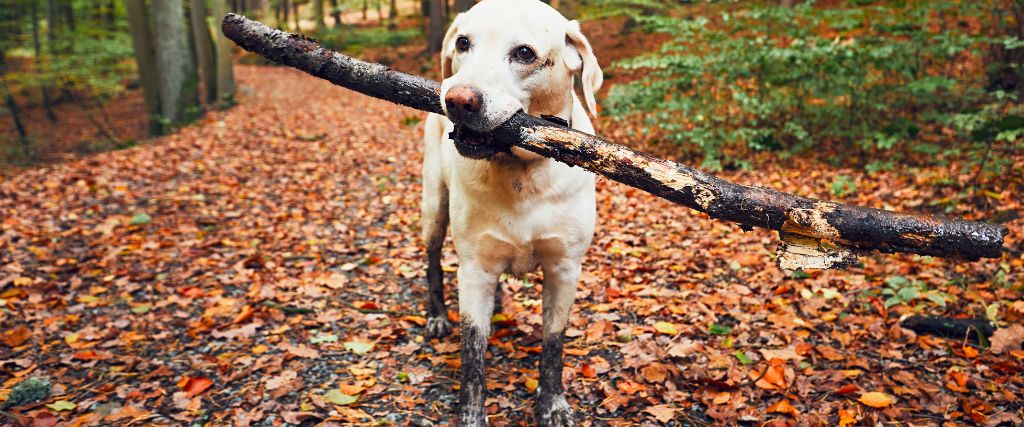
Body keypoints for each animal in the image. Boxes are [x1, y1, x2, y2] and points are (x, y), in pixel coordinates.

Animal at [419, 1, 602, 423]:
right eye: (463, 43)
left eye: (524, 53)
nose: (457, 100)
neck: (521, 171)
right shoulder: (474, 270)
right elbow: (473, 353)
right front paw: (470, 415)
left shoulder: (565, 269)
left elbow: (553, 344)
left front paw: (552, 405)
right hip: (433, 208)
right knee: (433, 259)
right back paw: (437, 314)